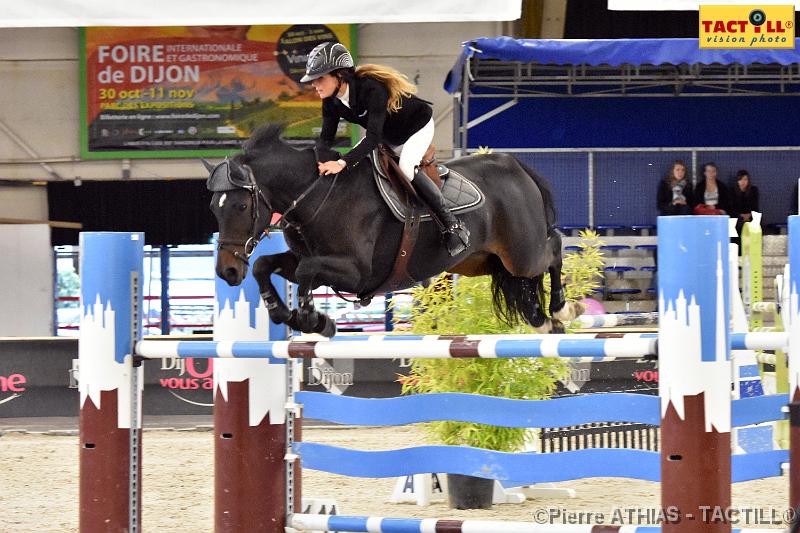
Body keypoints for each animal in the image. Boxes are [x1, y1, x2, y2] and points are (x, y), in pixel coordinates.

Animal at [205, 122, 580, 334]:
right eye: (213, 208)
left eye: (241, 206)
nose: (226, 272)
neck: (318, 194)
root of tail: (514, 164)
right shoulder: (307, 260)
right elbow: (265, 265)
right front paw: (282, 312)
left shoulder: (357, 272)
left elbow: (307, 272)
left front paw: (312, 320)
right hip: (483, 262)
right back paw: (544, 321)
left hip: (522, 254)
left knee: (554, 247)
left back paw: (562, 308)